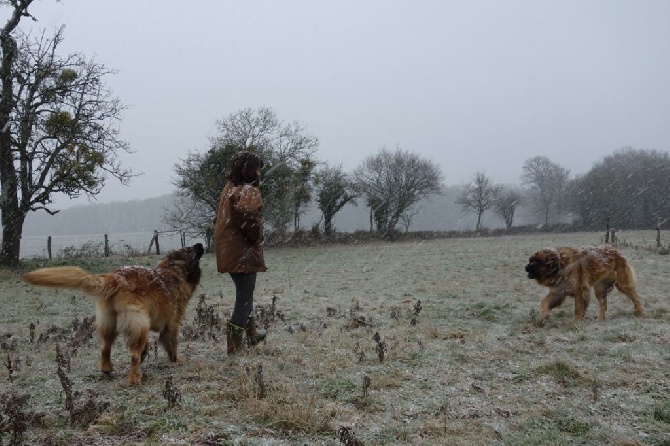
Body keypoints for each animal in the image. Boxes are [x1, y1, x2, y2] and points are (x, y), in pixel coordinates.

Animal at [23, 242, 205, 386]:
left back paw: (107, 368)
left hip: (110, 322)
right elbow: (172, 345)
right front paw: (176, 360)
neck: (174, 270)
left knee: (105, 348)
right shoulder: (172, 324)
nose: (200, 243)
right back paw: (134, 379)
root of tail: (117, 277)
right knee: (133, 356)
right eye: (190, 249)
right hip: (140, 324)